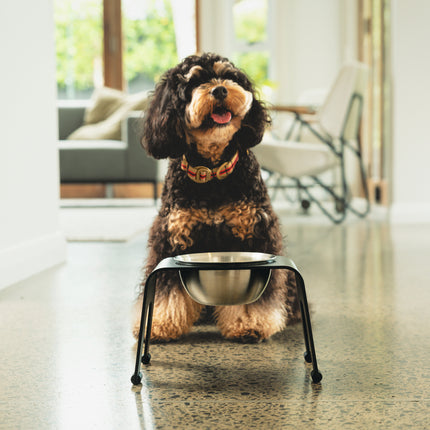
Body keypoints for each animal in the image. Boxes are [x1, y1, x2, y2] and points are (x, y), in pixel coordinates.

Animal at [134, 53, 298, 342]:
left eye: (229, 77)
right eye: (193, 82)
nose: (220, 90)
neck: (211, 175)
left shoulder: (256, 233)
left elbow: (256, 300)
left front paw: (250, 323)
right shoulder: (171, 237)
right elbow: (166, 291)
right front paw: (159, 324)